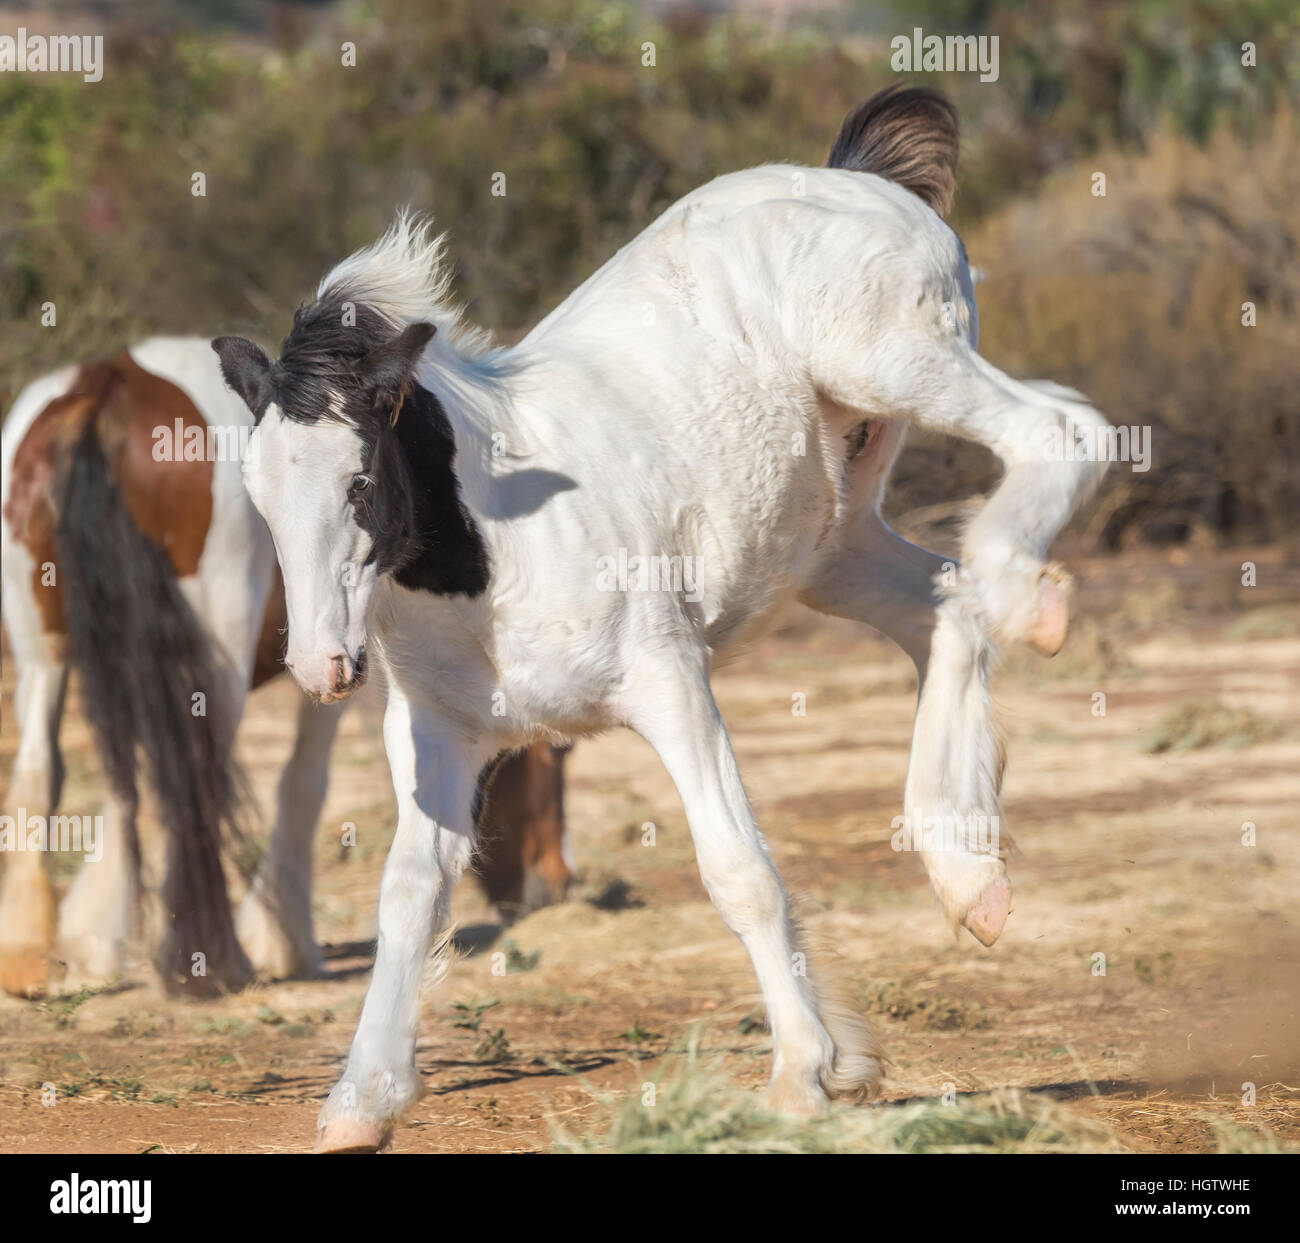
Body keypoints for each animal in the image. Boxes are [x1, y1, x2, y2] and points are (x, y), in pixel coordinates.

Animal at [1, 340, 569, 998]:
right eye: (554, 756)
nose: (553, 886)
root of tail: (109, 384)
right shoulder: (340, 666)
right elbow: (304, 780)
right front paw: (282, 942)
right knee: (192, 777)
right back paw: (212, 963)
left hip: (44, 655)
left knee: (54, 770)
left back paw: (31, 953)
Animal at [218, 85, 1112, 1154]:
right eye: (259, 497)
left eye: (358, 483)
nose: (320, 668)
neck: (500, 550)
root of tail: (859, 175)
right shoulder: (438, 737)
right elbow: (409, 892)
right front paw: (362, 1098)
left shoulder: (671, 683)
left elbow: (736, 868)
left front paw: (803, 1073)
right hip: (832, 542)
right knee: (942, 604)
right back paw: (967, 873)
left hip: (897, 365)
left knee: (1061, 432)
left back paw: (1028, 596)